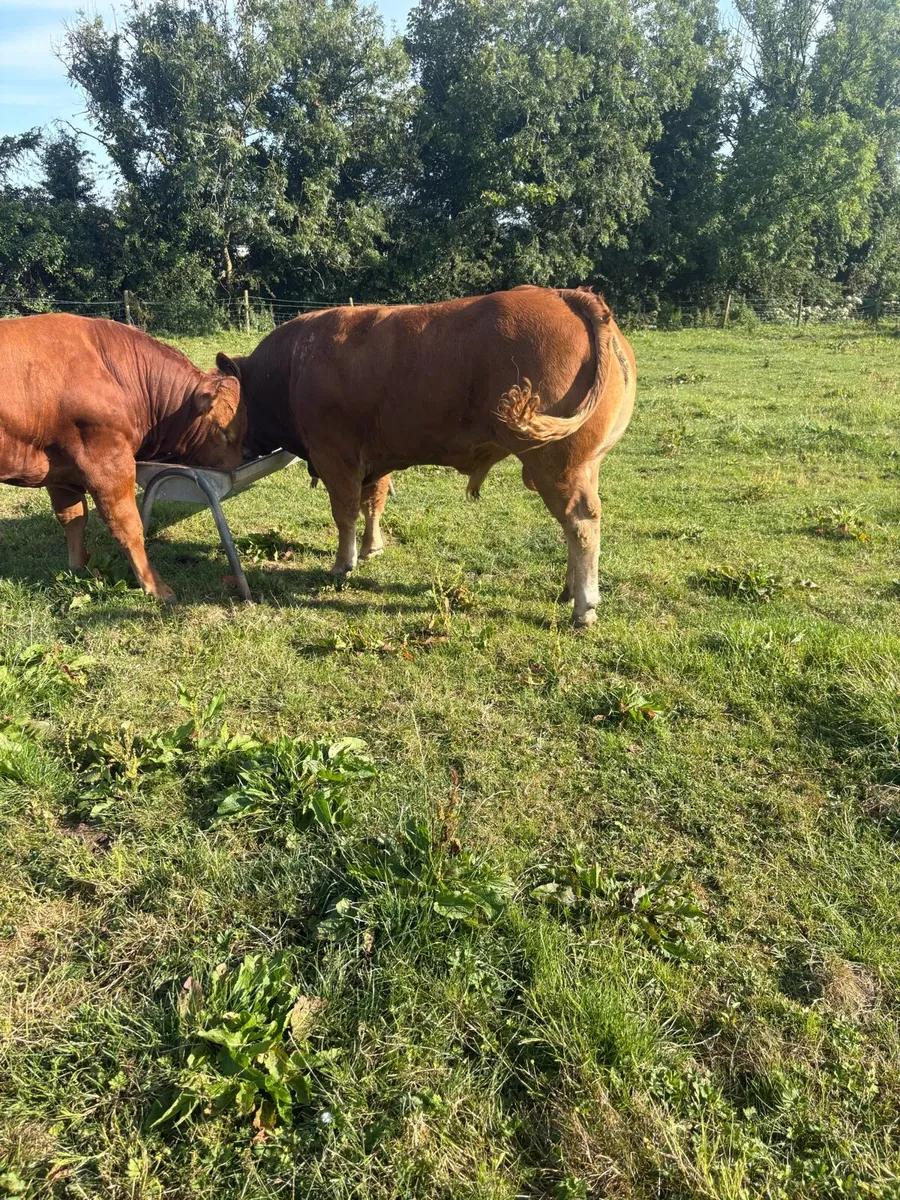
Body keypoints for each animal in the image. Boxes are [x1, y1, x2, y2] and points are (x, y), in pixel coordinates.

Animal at [0, 314, 246, 602]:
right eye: (225, 432)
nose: (237, 467)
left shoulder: (59, 470)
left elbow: (72, 517)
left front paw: (80, 567)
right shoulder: (108, 461)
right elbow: (128, 526)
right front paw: (156, 587)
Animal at [216, 285, 635, 627]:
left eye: (230, 406)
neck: (291, 368)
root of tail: (566, 295)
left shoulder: (335, 455)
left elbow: (345, 512)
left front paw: (342, 563)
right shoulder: (374, 458)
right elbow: (373, 502)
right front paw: (372, 547)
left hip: (556, 464)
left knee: (580, 521)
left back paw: (583, 607)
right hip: (586, 463)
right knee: (575, 524)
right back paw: (568, 590)